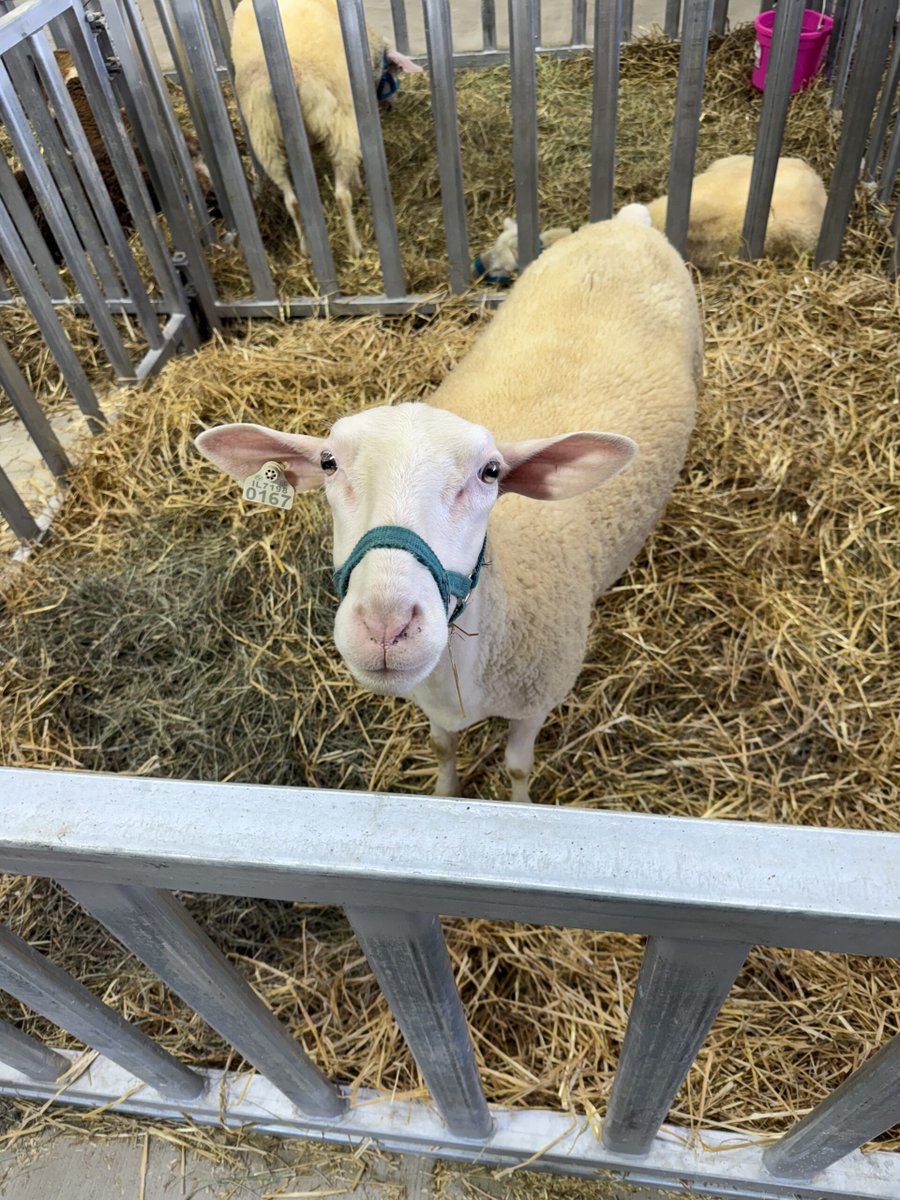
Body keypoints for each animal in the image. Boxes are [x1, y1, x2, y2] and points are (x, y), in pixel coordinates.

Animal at [195, 212, 701, 803]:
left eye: (491, 473)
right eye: (328, 463)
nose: (386, 628)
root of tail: (625, 220)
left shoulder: (537, 700)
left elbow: (518, 768)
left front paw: (521, 805)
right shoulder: (434, 706)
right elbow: (441, 748)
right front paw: (443, 793)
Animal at [231, 0, 421, 259]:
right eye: (393, 70)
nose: (393, 103)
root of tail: (289, 80)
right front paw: (358, 183)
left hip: (264, 137)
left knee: (291, 200)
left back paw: (305, 249)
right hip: (339, 125)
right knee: (341, 196)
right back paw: (356, 247)